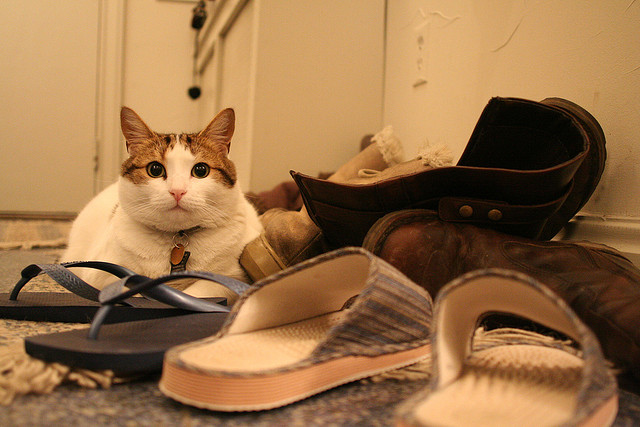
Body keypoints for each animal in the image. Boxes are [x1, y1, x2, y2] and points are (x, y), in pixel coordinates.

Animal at [62, 107, 263, 301]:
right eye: (155, 169)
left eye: (201, 170)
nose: (177, 191)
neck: (176, 237)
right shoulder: (99, 271)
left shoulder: (236, 276)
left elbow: (198, 291)